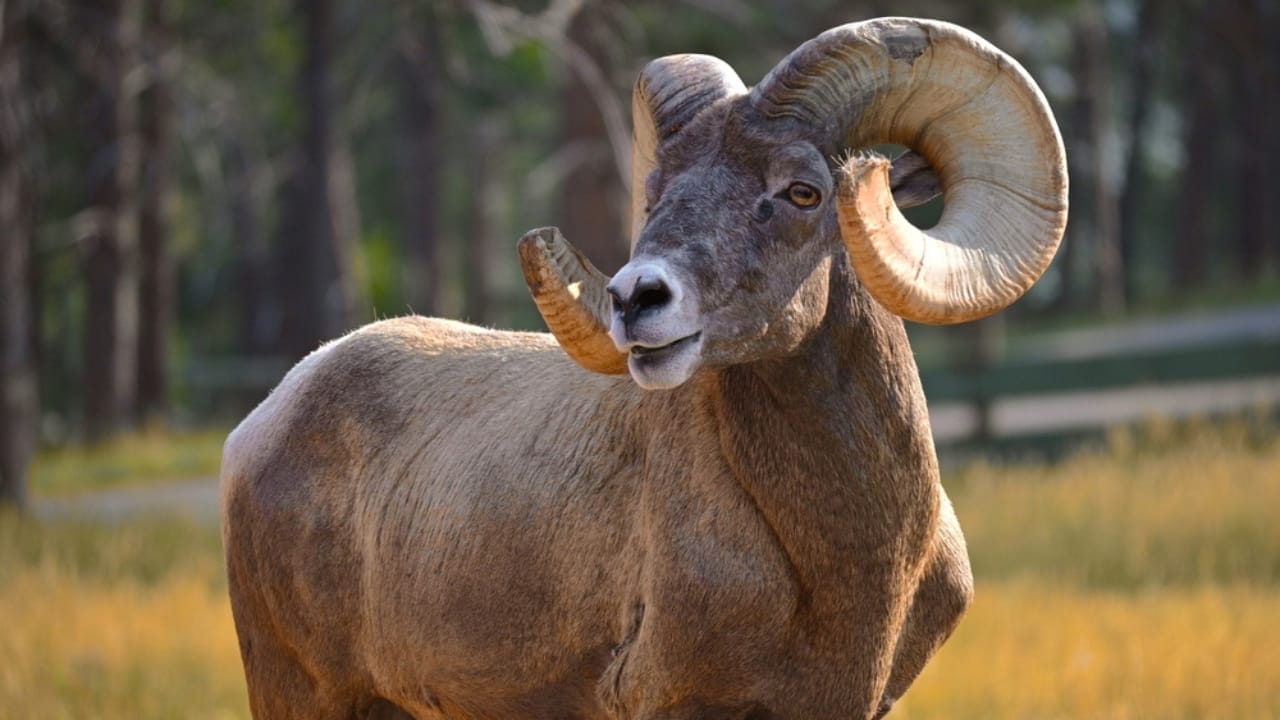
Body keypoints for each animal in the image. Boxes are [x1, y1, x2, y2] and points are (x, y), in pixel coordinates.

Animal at [221, 17, 1066, 720]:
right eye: (656, 192)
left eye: (803, 191)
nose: (636, 299)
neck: (852, 564)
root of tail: (258, 427)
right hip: (304, 694)